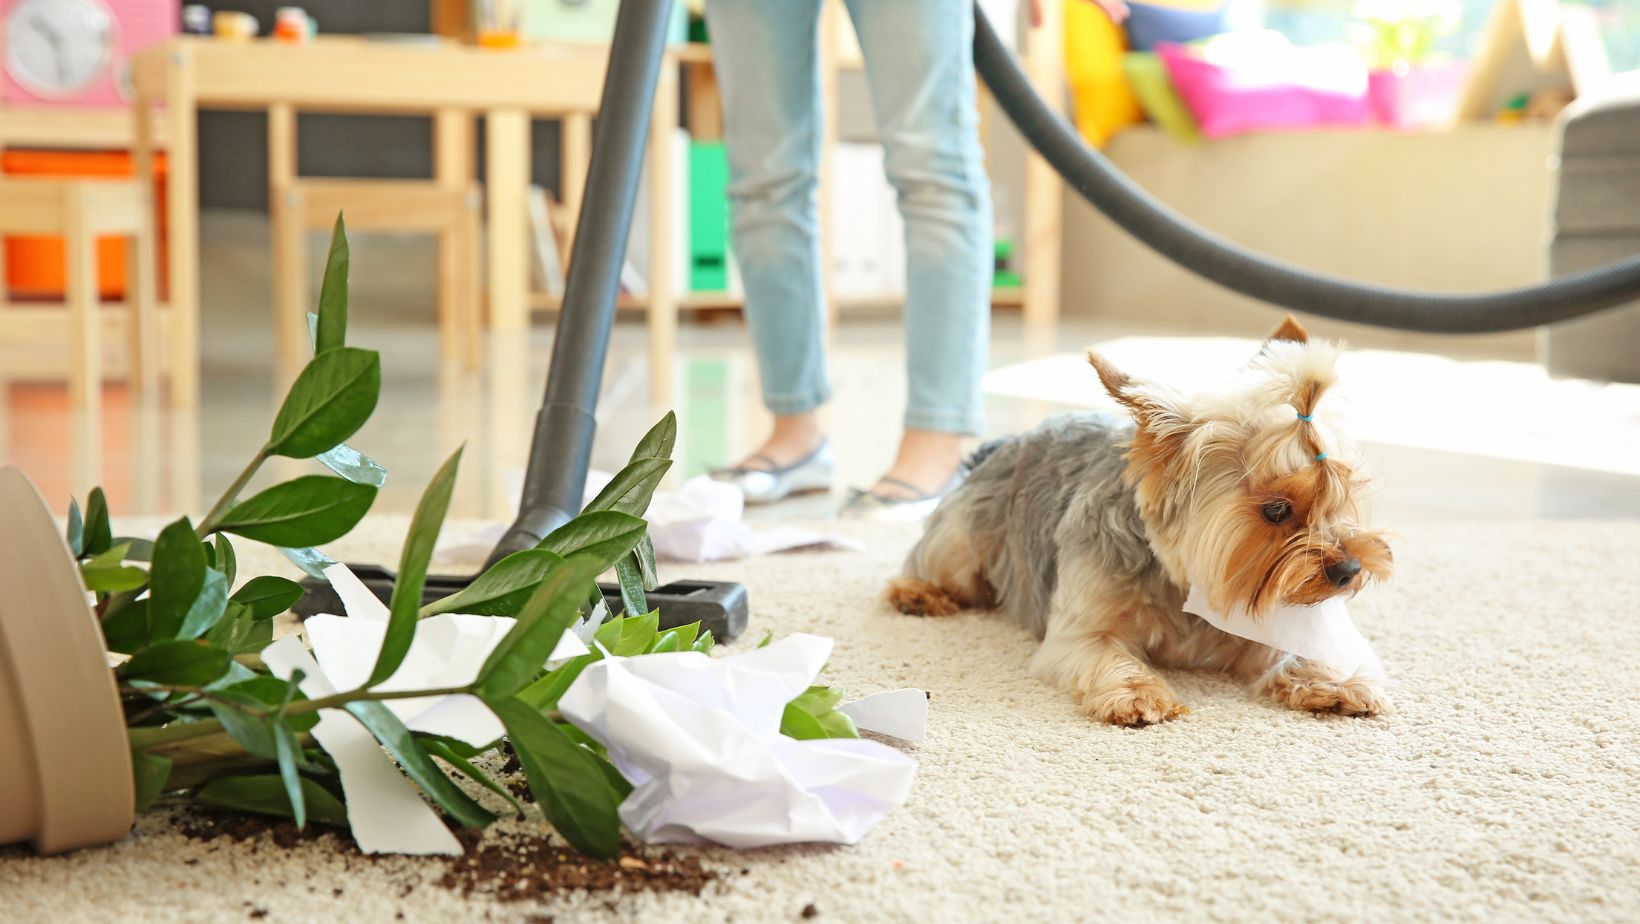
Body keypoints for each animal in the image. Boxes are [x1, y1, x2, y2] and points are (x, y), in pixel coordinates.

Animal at [892, 316, 1390, 722]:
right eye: (1276, 510)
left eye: (1342, 496)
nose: (1349, 570)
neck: (1184, 586)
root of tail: (1003, 444)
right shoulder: (1081, 633)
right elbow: (1105, 653)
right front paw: (1136, 694)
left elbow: (1292, 654)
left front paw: (1336, 682)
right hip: (963, 544)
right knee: (930, 562)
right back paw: (917, 594)